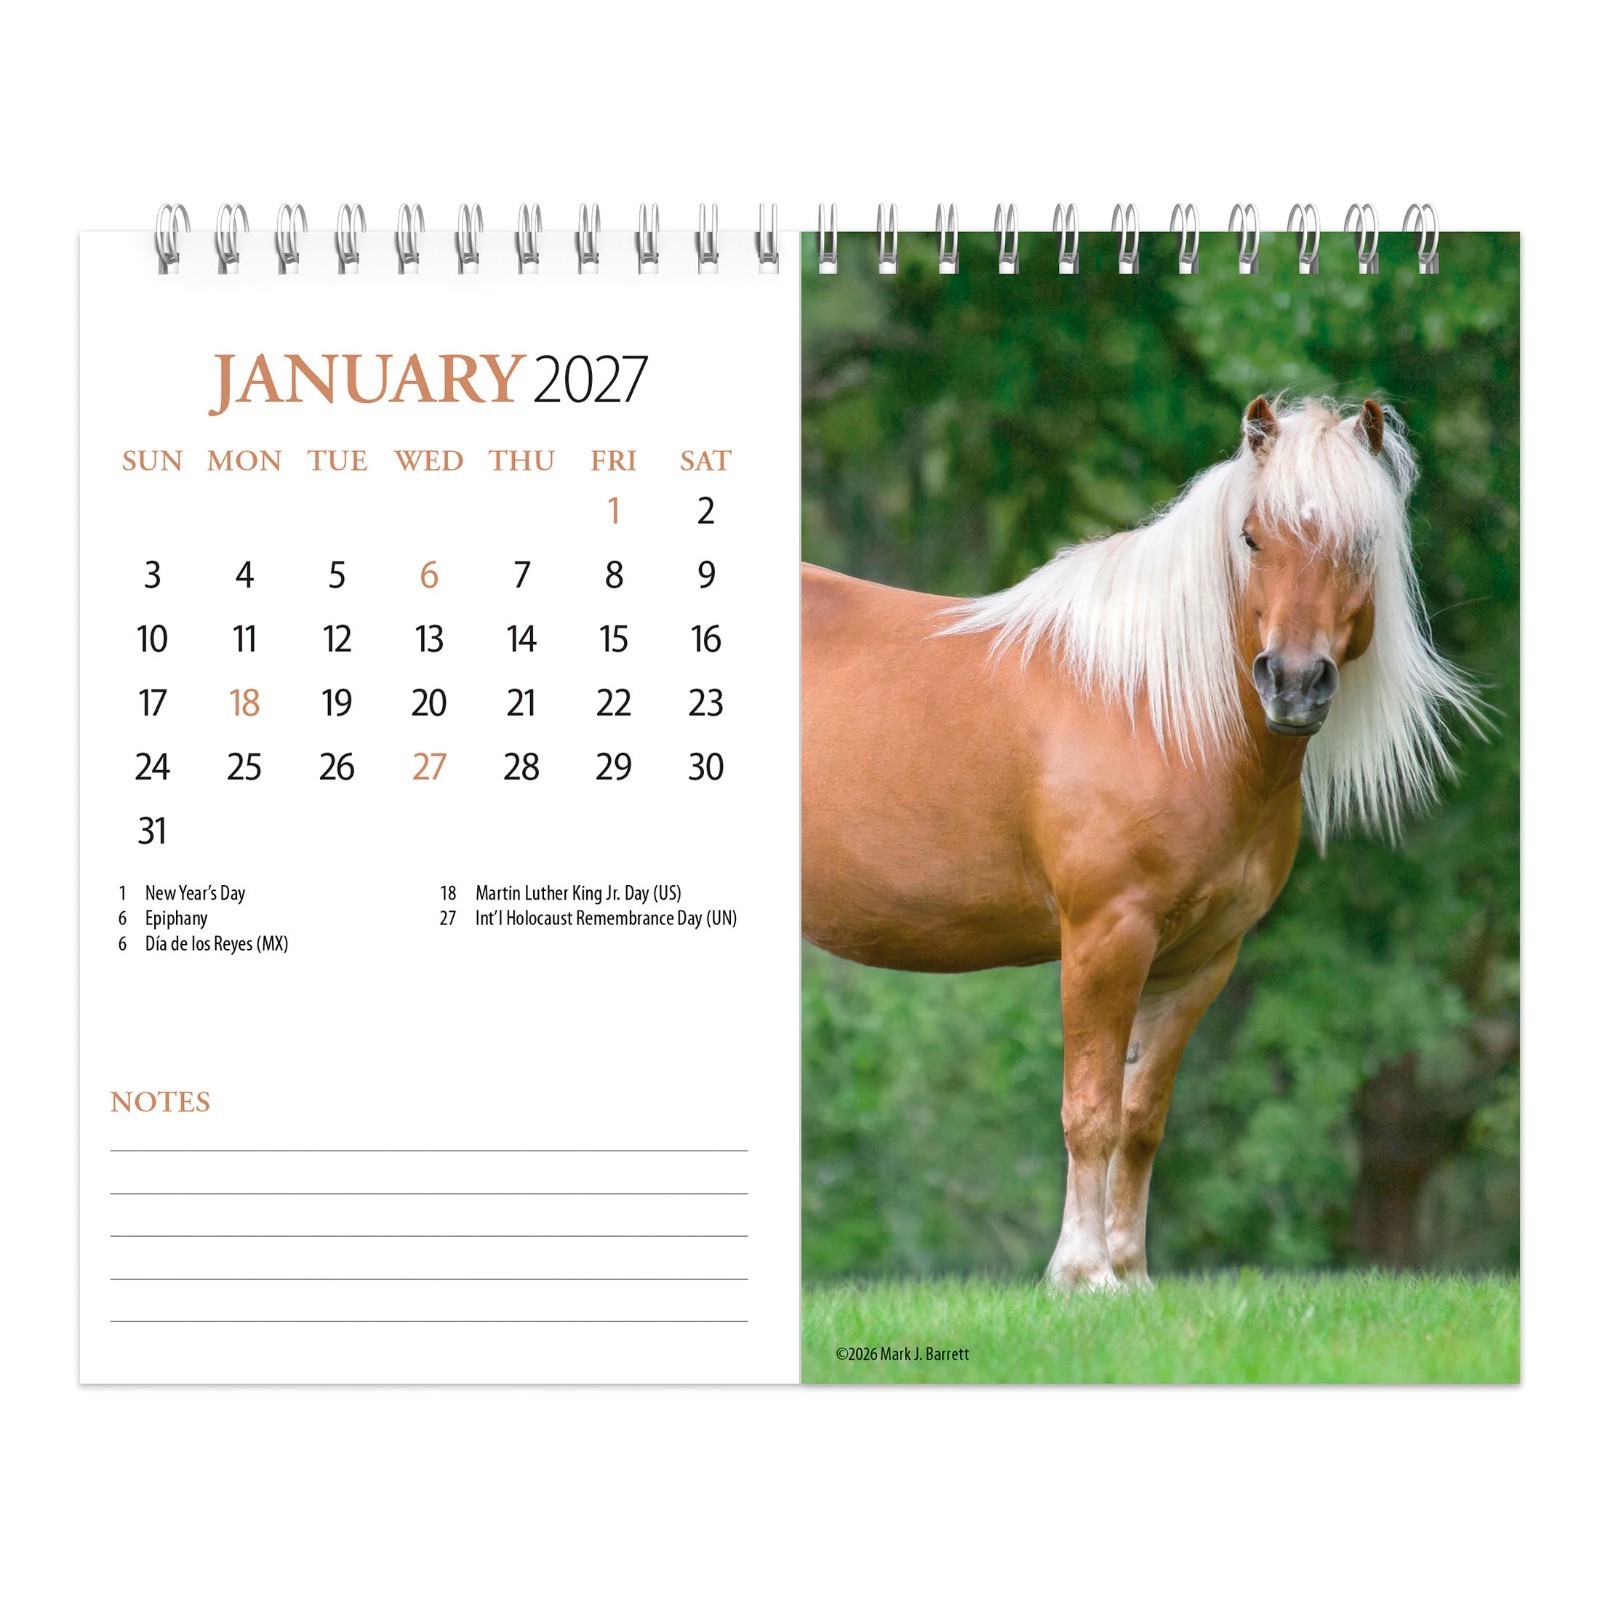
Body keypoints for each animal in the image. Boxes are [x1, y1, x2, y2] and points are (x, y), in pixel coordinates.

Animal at [801, 396, 1479, 1291]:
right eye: (1251, 537)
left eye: (1362, 542)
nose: (1294, 683)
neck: (1154, 709)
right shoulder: (1104, 938)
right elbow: (1089, 1111)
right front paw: (1081, 1272)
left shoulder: (1199, 962)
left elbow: (1141, 1116)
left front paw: (1130, 1273)